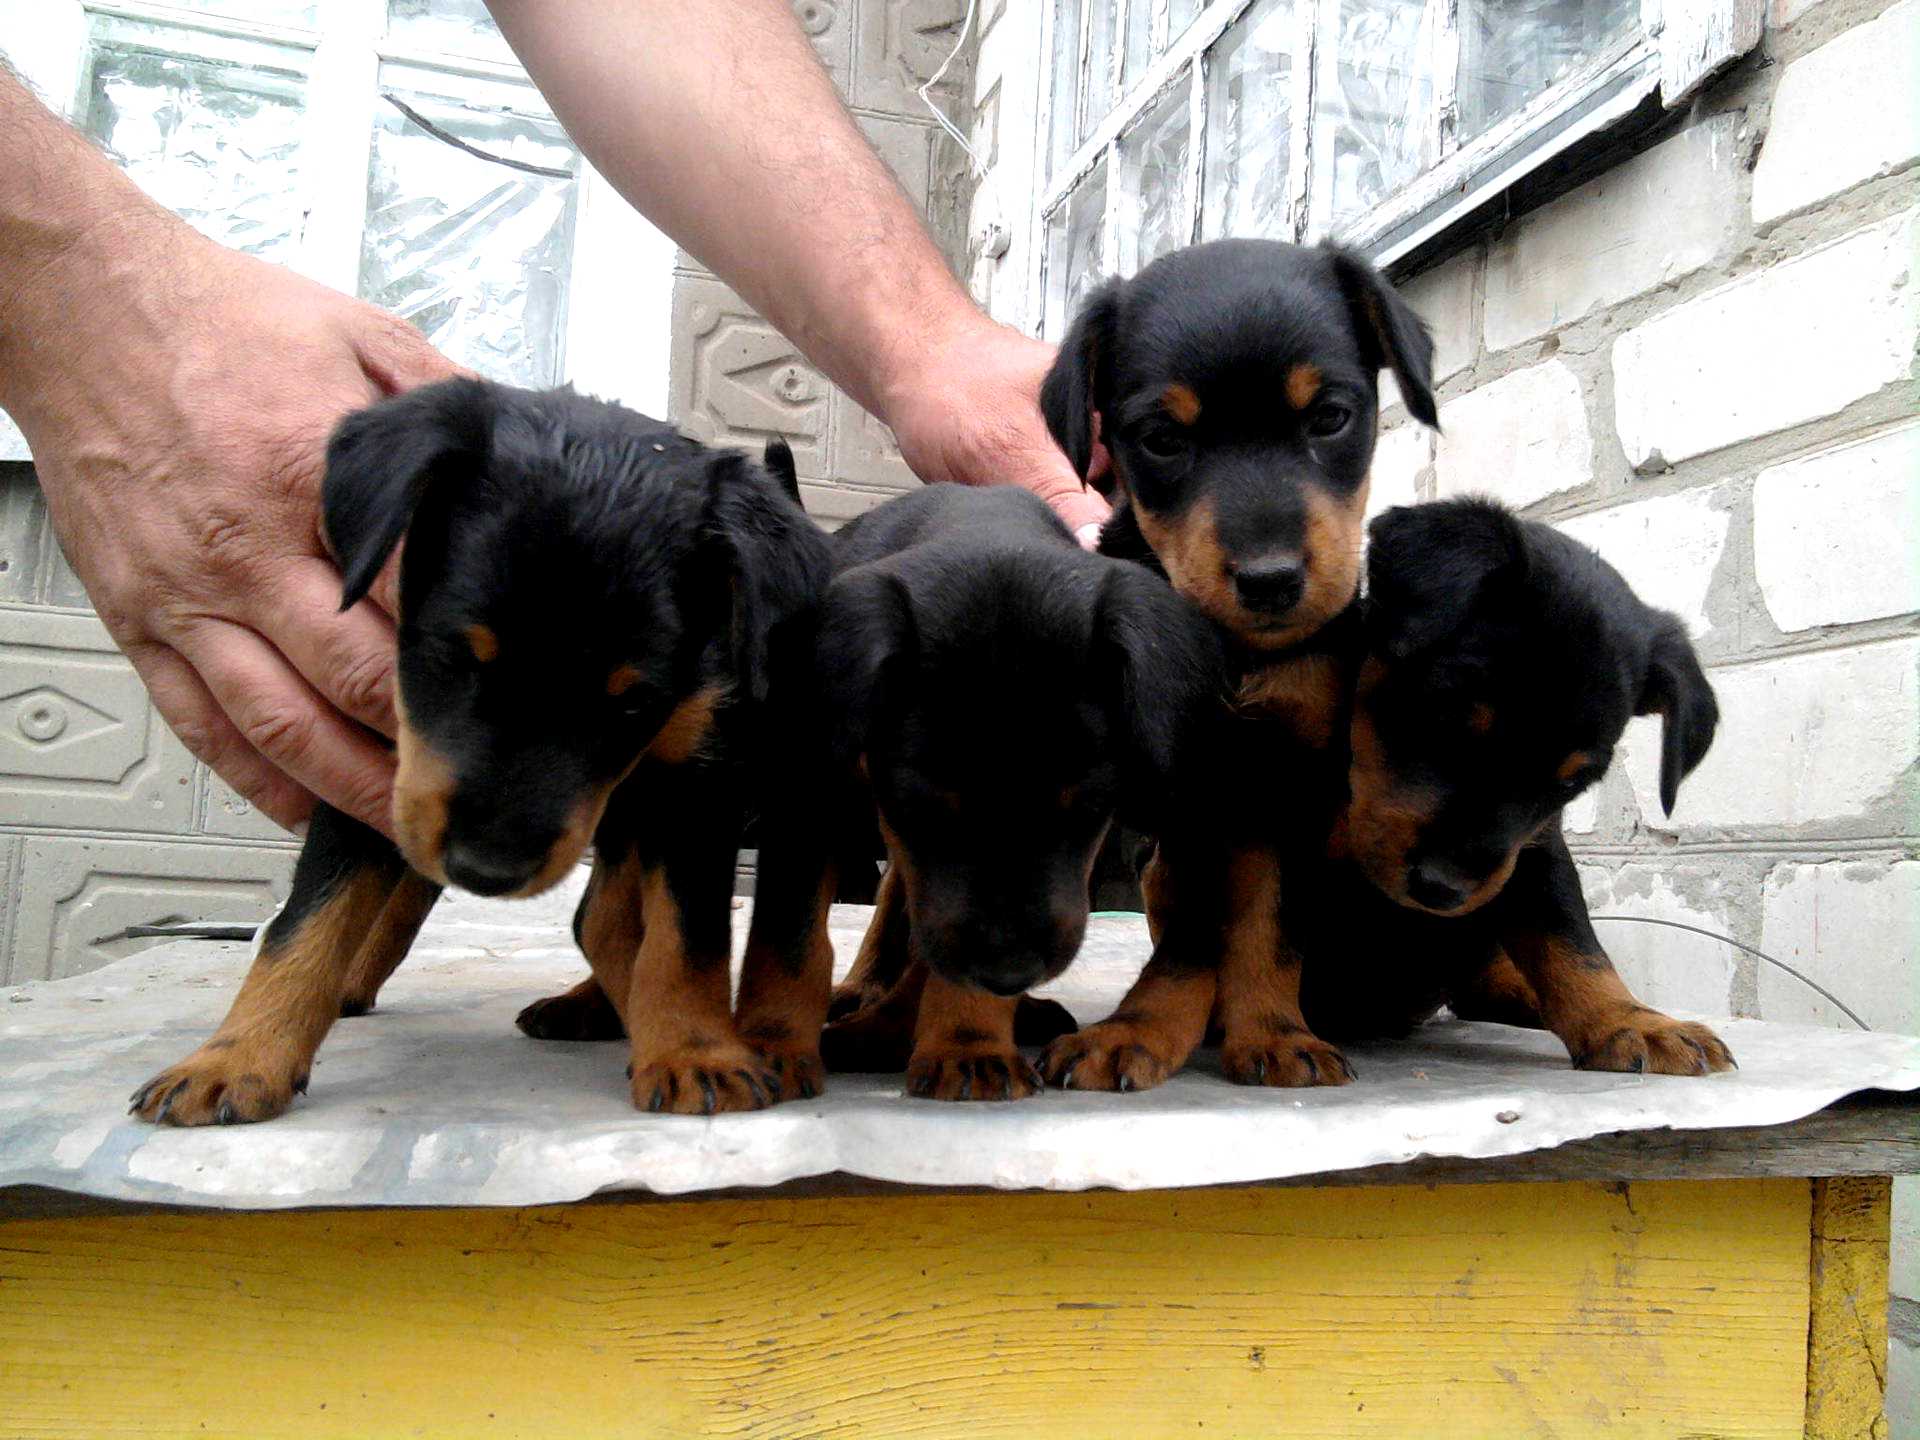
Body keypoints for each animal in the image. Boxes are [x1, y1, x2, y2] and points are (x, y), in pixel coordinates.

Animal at [125, 374, 833, 1128]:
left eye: (636, 701)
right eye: (455, 653)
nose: (487, 871)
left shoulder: (695, 787)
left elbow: (686, 938)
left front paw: (694, 1051)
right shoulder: (387, 758)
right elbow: (309, 920)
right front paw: (234, 1058)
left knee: (600, 919)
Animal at [1036, 240, 1443, 1090]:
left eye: (1329, 418)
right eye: (1162, 438)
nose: (1269, 580)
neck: (1235, 652)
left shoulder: (1281, 786)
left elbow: (1266, 923)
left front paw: (1275, 1034)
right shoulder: (1190, 794)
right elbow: (1196, 933)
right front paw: (1140, 1029)